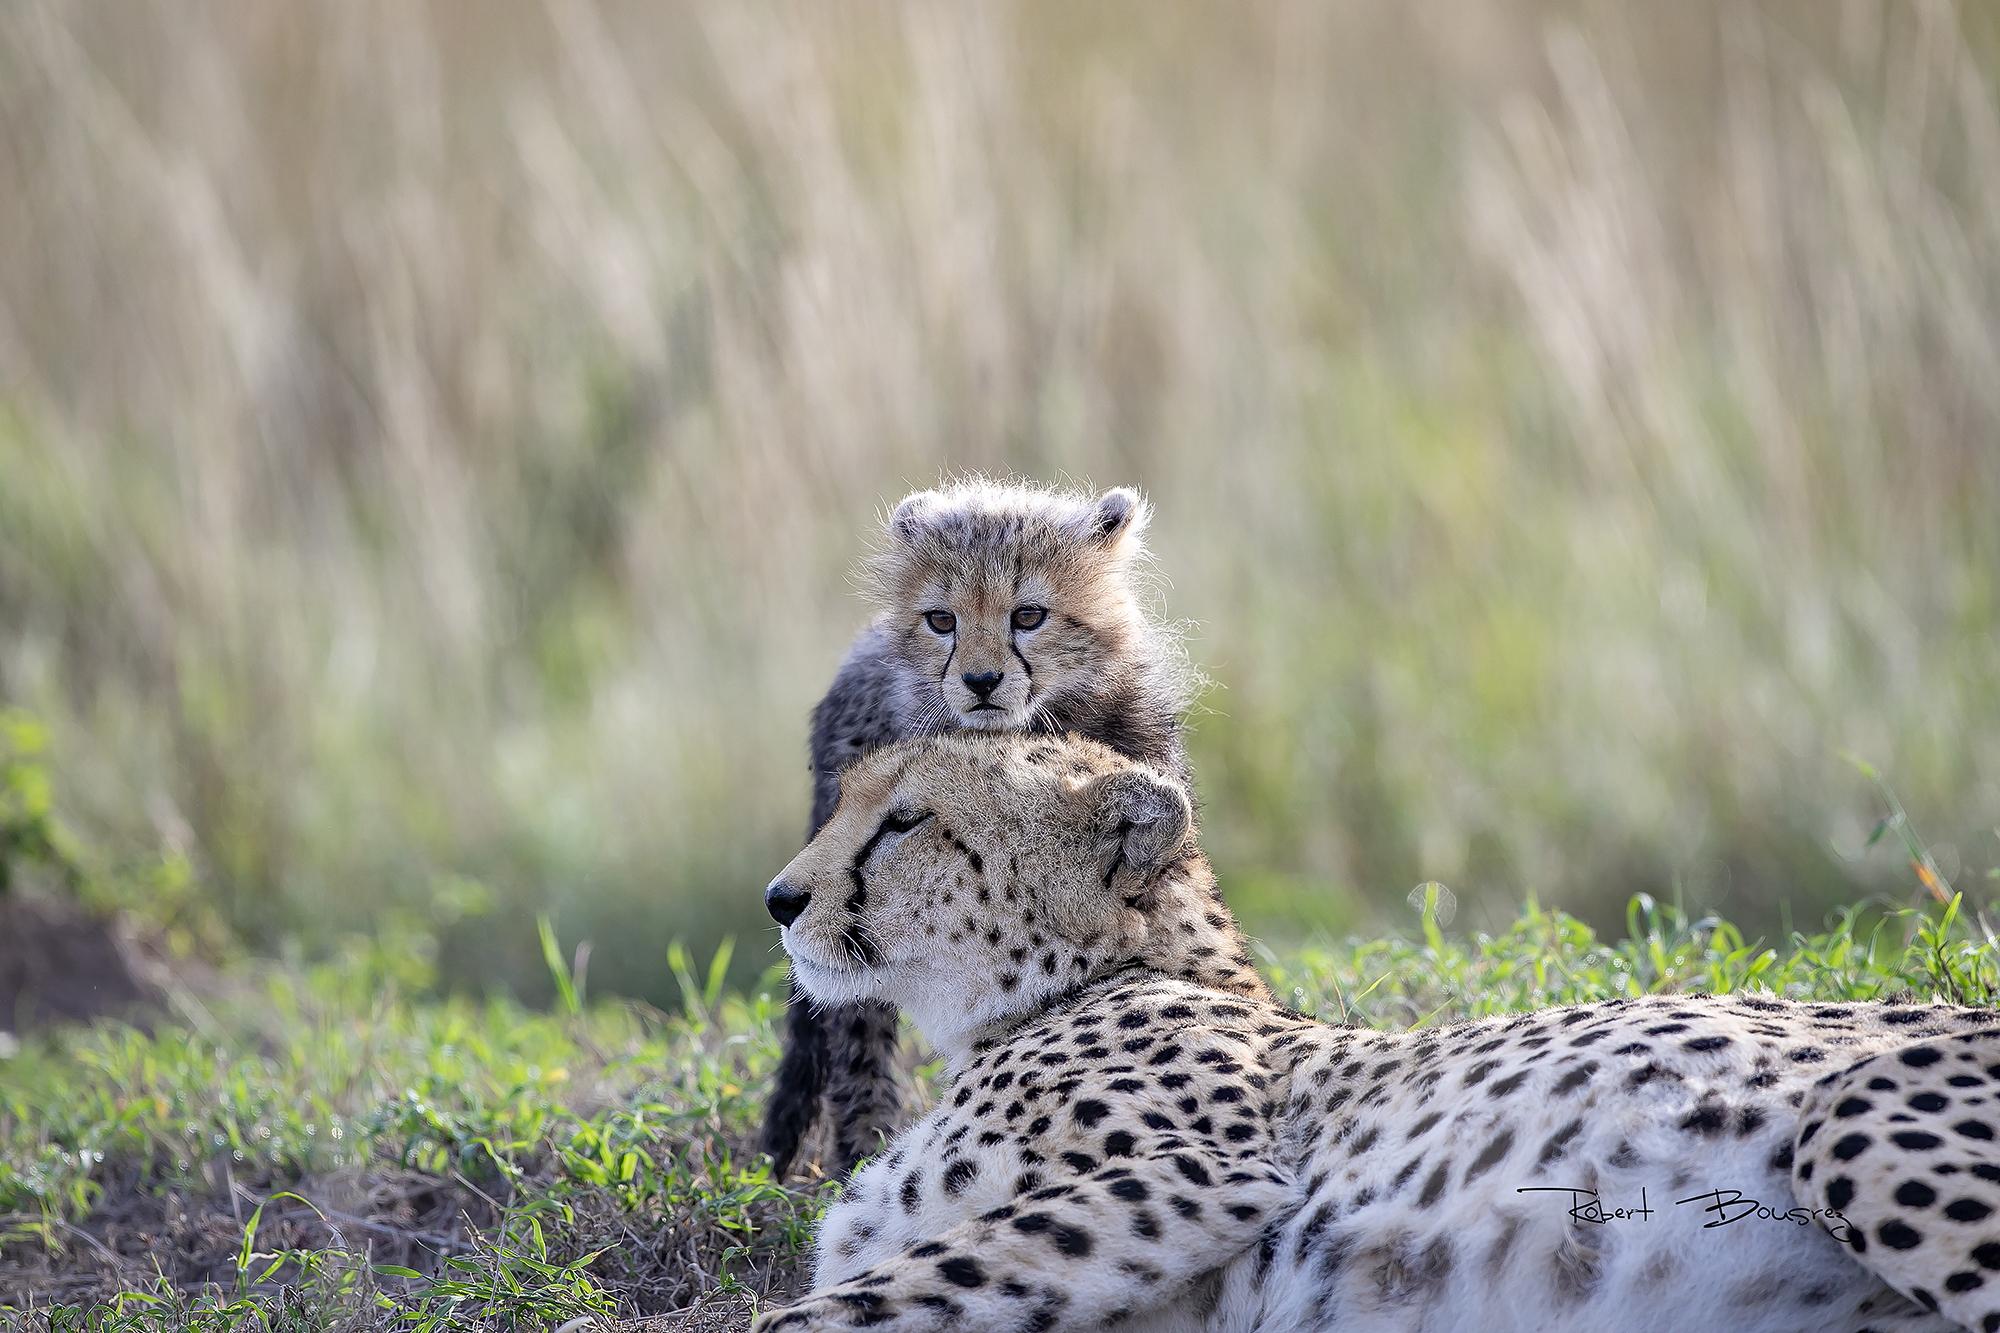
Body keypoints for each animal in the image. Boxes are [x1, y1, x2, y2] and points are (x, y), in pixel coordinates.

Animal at [752, 728, 2000, 1328]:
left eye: (904, 821)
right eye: (846, 800)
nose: (779, 898)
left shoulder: (1204, 1173)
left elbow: (842, 1303)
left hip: (1851, 1118)